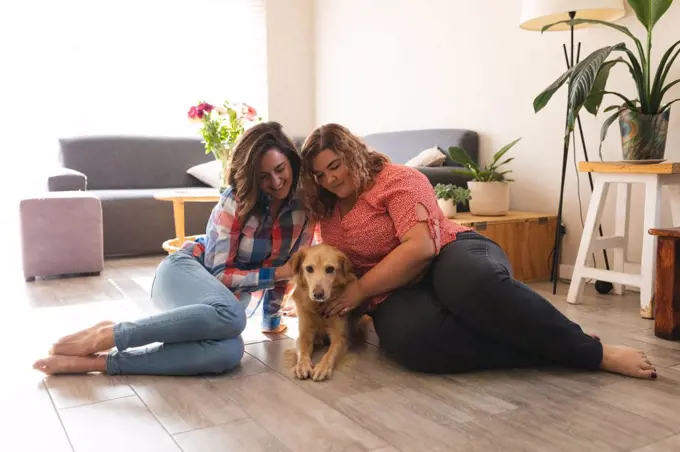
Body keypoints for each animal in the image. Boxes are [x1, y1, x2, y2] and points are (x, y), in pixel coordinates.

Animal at [288, 244, 362, 382]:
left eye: (330, 269)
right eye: (309, 268)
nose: (318, 294)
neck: (319, 307)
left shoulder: (340, 338)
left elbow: (330, 353)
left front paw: (322, 367)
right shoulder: (304, 334)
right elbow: (302, 350)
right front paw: (302, 365)